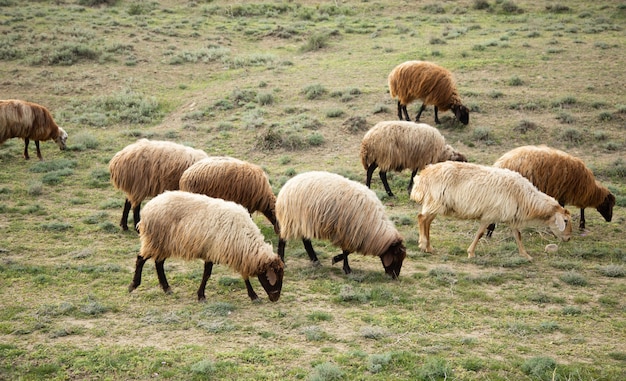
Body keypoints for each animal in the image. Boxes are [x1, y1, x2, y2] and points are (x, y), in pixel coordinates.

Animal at [128, 191, 284, 302]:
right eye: (274, 277)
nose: (275, 298)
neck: (244, 237)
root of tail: (148, 207)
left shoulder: (236, 254)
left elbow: (242, 275)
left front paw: (253, 295)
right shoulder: (215, 251)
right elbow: (207, 274)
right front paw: (201, 296)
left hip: (164, 244)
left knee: (158, 263)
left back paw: (167, 288)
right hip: (155, 240)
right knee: (140, 259)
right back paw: (133, 285)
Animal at [274, 171, 404, 278]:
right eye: (396, 256)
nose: (395, 277)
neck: (374, 226)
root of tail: (286, 186)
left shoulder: (350, 233)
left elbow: (348, 251)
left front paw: (337, 260)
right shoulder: (348, 231)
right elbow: (347, 251)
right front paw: (346, 268)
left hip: (304, 223)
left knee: (306, 242)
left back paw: (316, 261)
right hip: (291, 220)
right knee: (282, 240)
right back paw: (283, 262)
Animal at [410, 160, 572, 262]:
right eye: (565, 221)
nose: (569, 238)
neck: (524, 197)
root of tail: (424, 174)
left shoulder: (511, 217)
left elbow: (518, 236)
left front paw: (526, 255)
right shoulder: (490, 214)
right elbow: (480, 233)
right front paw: (471, 253)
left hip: (436, 203)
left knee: (427, 221)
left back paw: (429, 247)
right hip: (436, 201)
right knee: (421, 218)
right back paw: (423, 245)